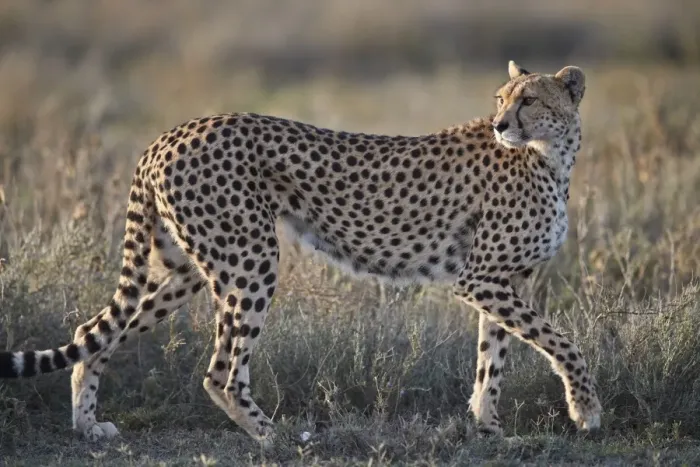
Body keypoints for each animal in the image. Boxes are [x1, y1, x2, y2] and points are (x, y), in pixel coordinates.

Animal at [0, 61, 601, 443]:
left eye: (529, 100)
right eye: (502, 100)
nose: (500, 125)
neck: (550, 154)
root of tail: (171, 133)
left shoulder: (505, 279)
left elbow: (491, 359)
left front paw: (489, 427)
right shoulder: (480, 278)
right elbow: (561, 342)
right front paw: (586, 410)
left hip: (187, 266)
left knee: (93, 332)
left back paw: (87, 426)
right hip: (251, 259)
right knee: (220, 370)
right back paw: (276, 438)